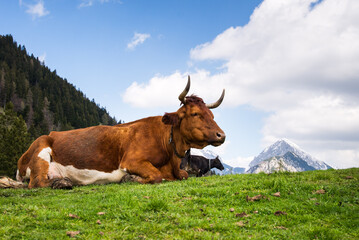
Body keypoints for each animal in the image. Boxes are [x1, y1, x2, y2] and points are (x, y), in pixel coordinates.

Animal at [16, 76, 226, 188]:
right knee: (37, 182)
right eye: (195, 113)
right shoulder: (132, 160)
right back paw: (63, 183)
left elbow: (183, 175)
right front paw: (130, 178)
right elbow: (155, 176)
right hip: (41, 150)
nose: (221, 135)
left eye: (212, 115)